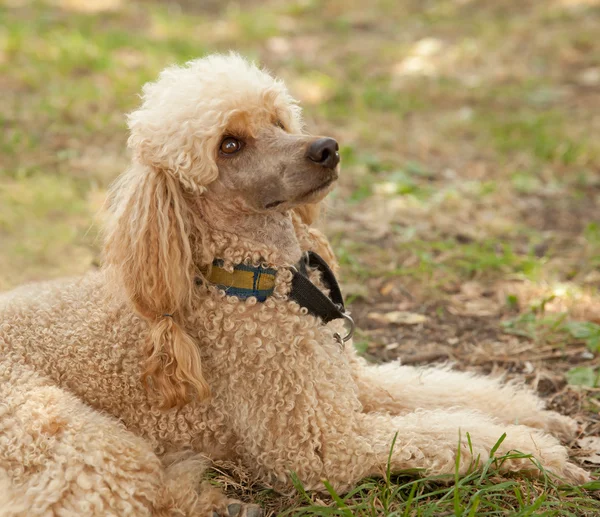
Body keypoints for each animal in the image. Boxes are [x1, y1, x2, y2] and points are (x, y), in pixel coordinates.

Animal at [0, 53, 592, 516]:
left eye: (278, 120)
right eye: (229, 145)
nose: (327, 148)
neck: (258, 281)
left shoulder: (350, 383)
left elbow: (445, 394)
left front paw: (540, 417)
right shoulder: (322, 444)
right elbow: (447, 433)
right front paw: (540, 455)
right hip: (69, 436)